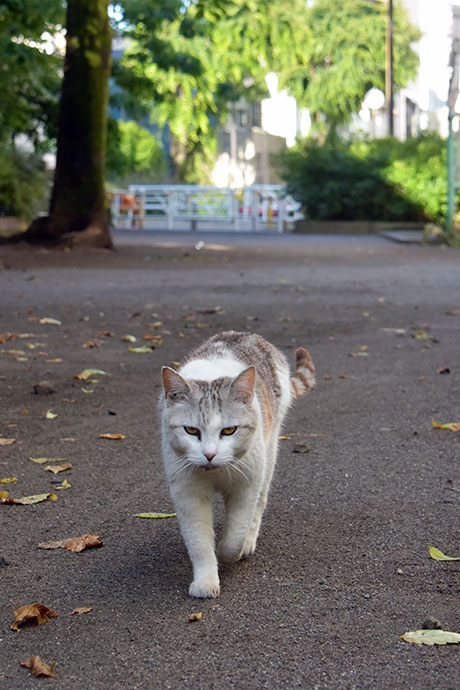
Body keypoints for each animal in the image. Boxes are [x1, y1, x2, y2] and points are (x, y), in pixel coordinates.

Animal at [160, 330, 314, 592]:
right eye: (191, 430)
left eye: (229, 430)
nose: (209, 454)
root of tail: (246, 334)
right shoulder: (188, 492)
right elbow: (199, 542)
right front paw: (206, 581)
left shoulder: (246, 485)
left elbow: (236, 533)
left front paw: (227, 551)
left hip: (269, 452)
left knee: (259, 504)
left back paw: (248, 543)